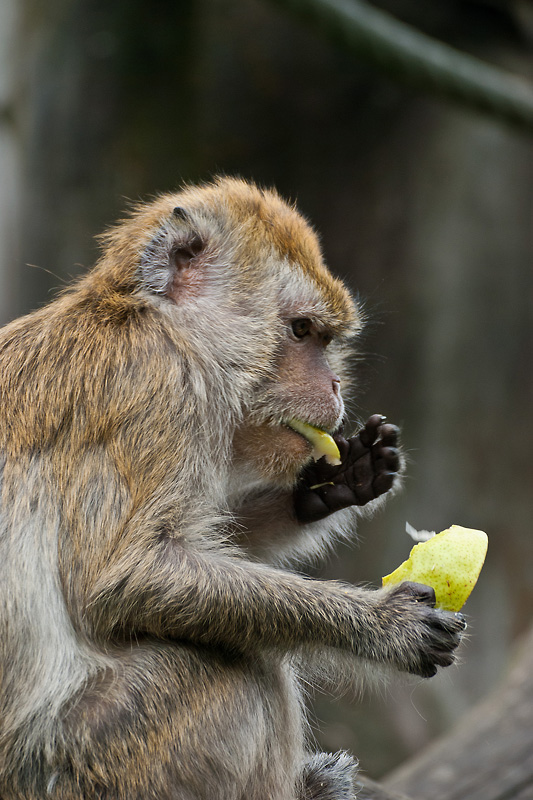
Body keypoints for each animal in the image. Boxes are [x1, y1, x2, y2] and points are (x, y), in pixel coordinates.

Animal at [0, 177, 465, 800]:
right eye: (301, 331)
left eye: (322, 339)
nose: (335, 385)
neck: (153, 320)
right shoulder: (156, 386)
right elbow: (128, 576)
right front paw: (381, 625)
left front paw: (335, 482)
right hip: (82, 762)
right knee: (245, 668)